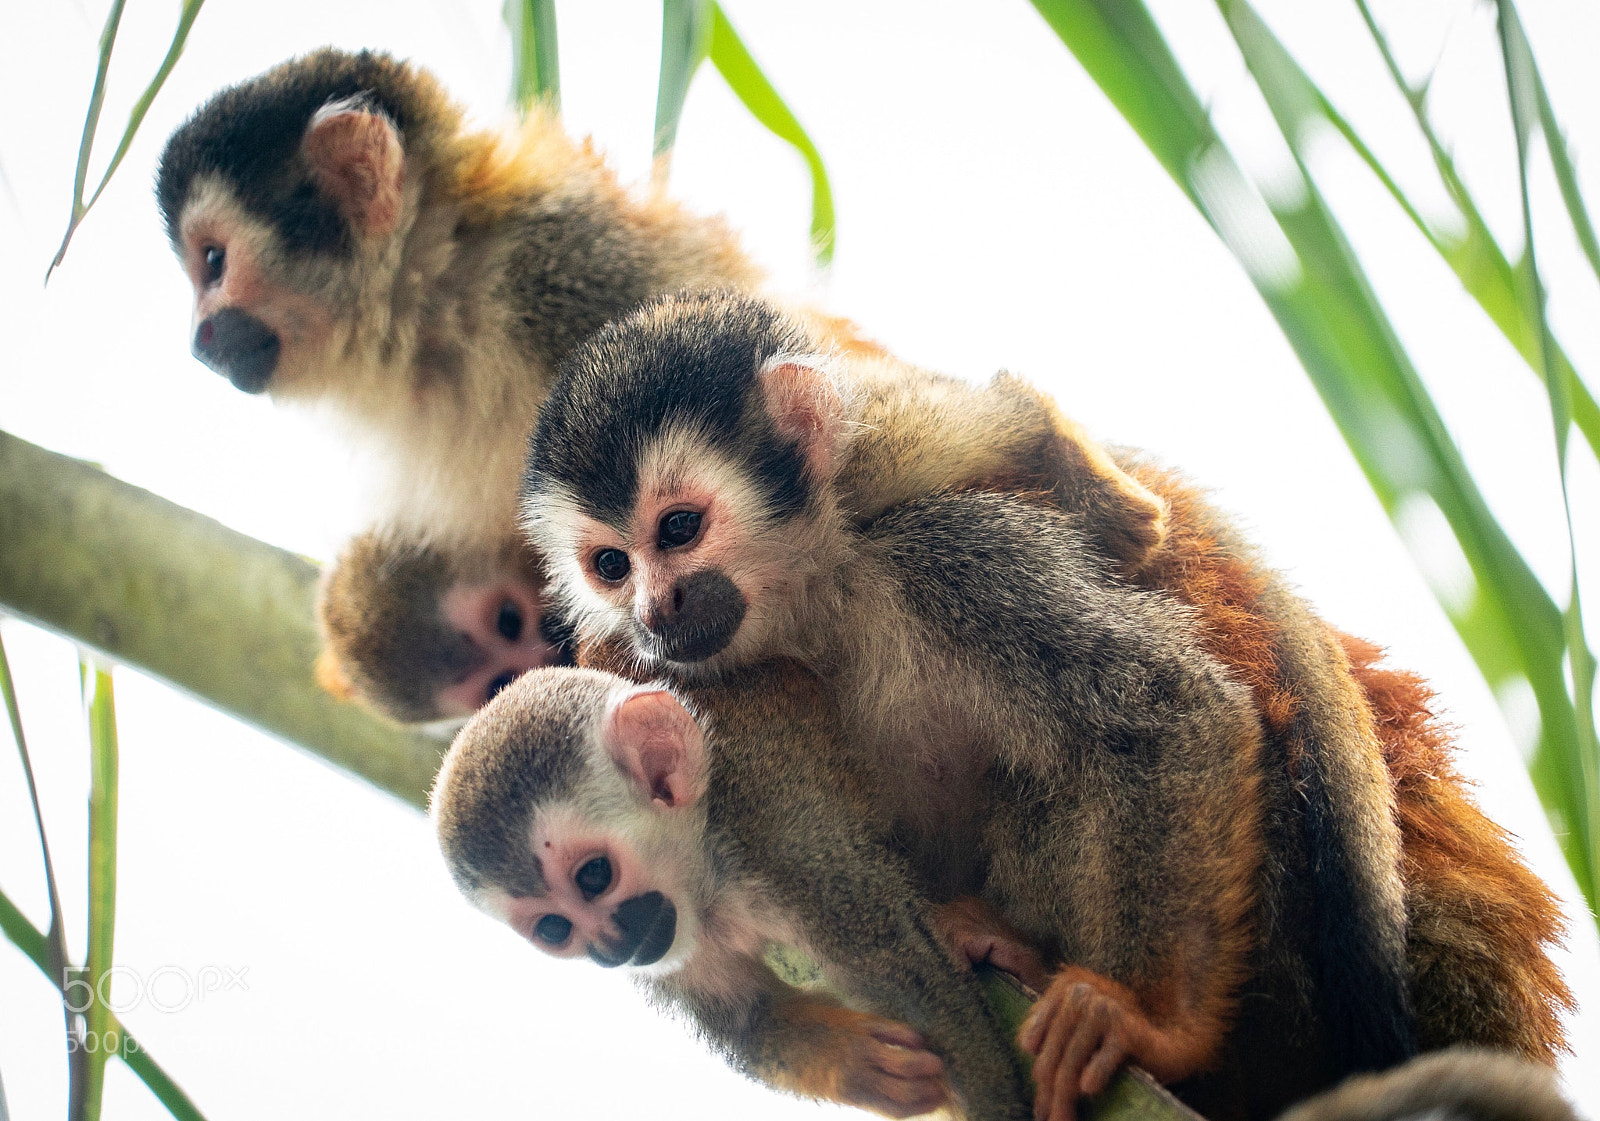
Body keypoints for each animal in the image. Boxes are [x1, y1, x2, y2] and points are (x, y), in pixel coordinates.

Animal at [432, 661, 1034, 1120]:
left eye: (594, 876)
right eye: (555, 928)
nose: (608, 948)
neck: (708, 871)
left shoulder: (781, 838)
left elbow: (913, 978)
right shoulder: (672, 954)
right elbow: (750, 1020)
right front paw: (852, 1065)